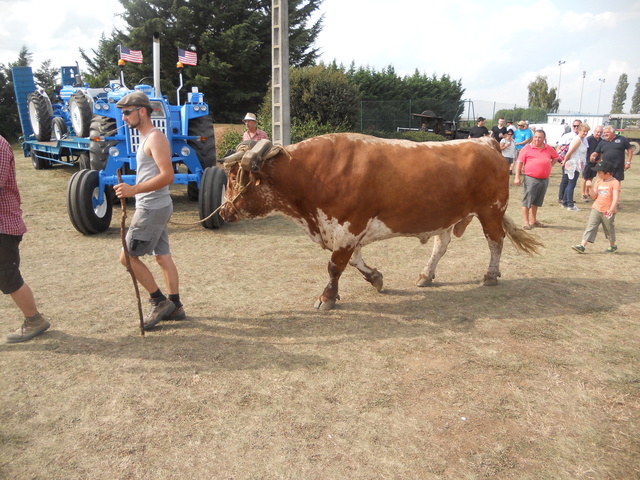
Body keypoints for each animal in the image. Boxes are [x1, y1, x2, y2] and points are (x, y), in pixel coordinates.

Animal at [220, 133, 540, 310]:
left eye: (235, 179)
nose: (223, 212)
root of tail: (486, 142)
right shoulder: (346, 231)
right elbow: (353, 261)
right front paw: (375, 278)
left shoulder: (348, 227)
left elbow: (335, 265)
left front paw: (327, 297)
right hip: (448, 216)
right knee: (441, 244)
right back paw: (426, 274)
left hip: (490, 210)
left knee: (495, 242)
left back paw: (490, 275)